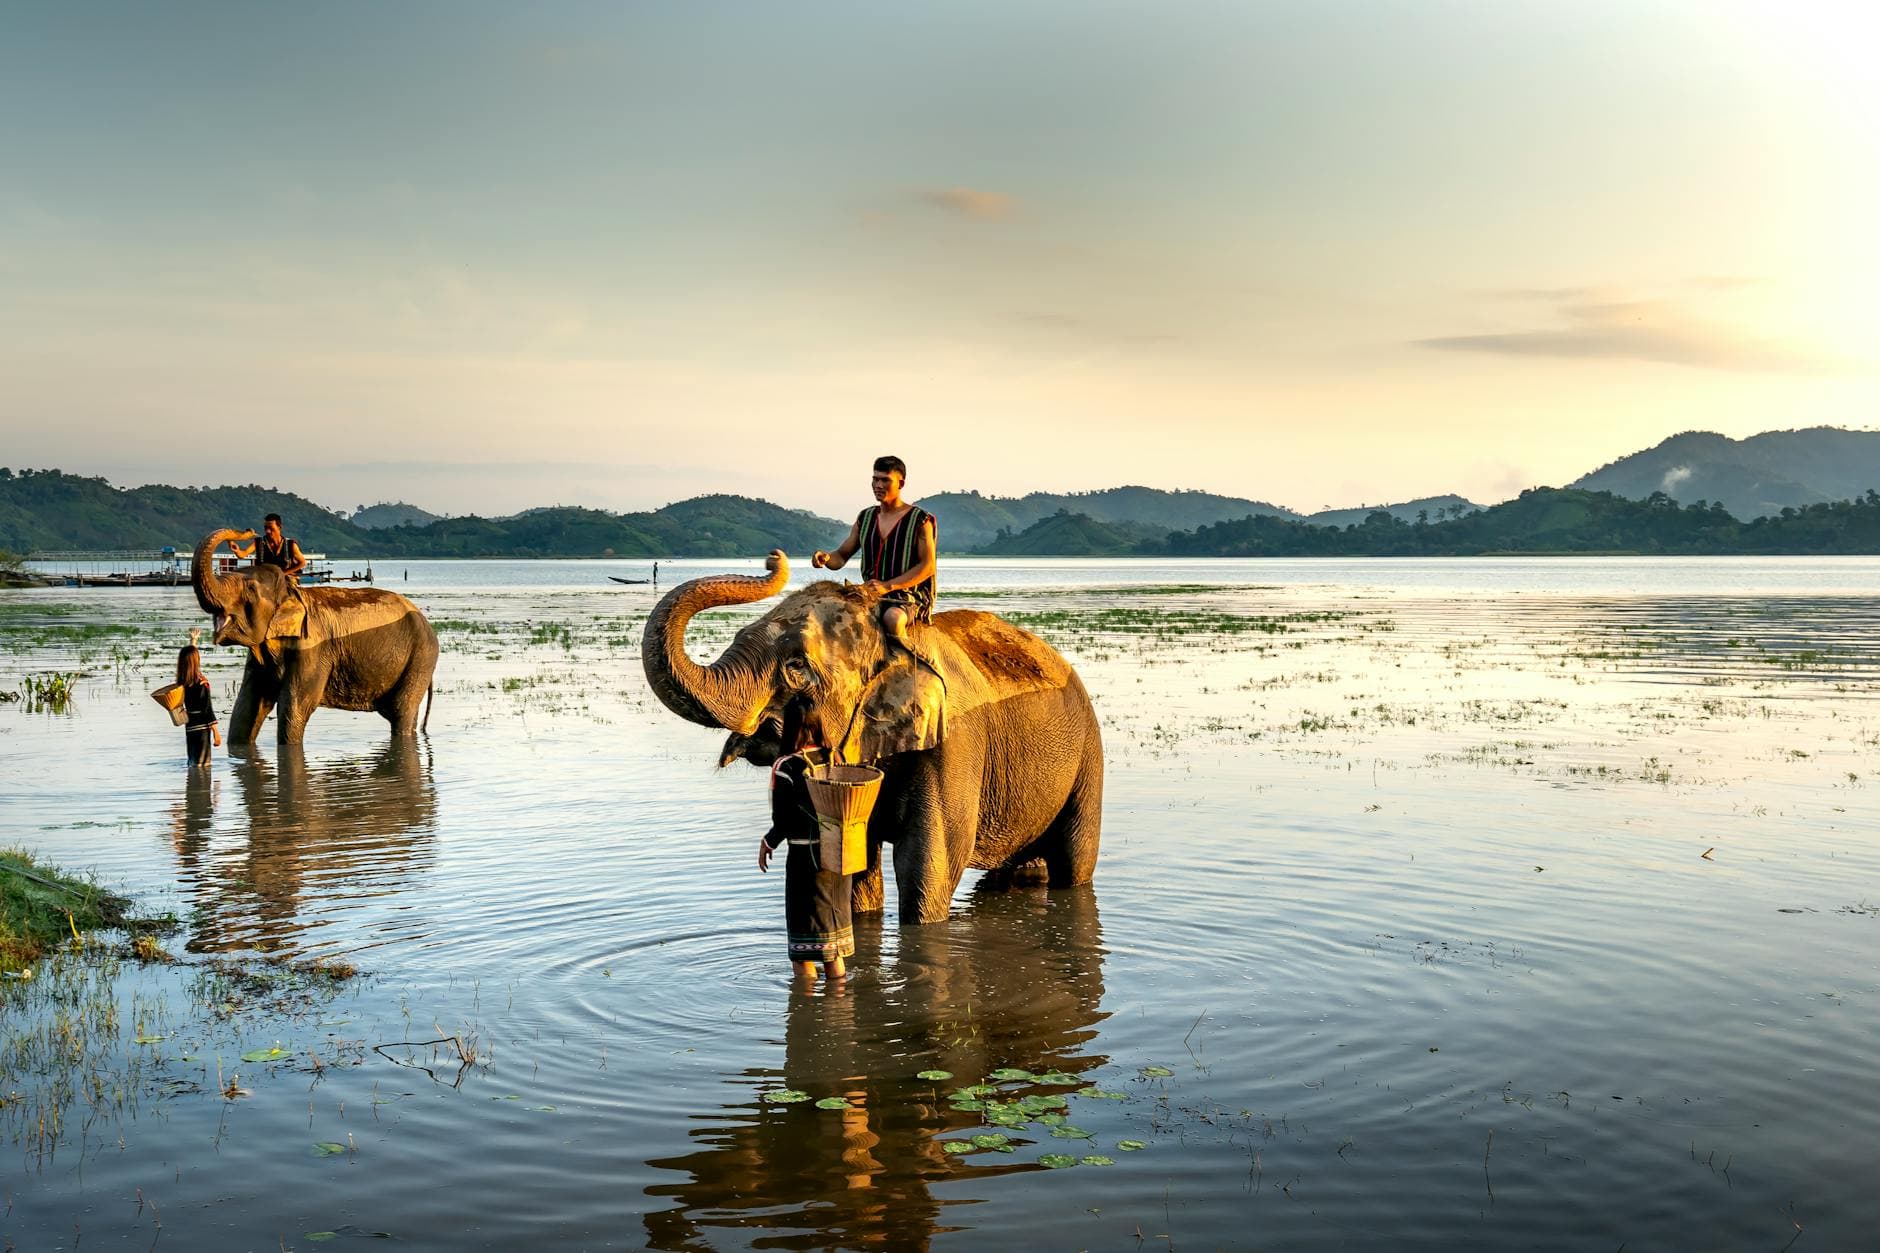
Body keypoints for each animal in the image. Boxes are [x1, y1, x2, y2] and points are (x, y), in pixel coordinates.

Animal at [192, 528, 440, 745]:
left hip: (421, 657)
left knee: (402, 711)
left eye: (250, 589)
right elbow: (248, 705)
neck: (290, 593)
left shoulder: (313, 648)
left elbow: (296, 705)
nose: (247, 532)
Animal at [641, 553, 1103, 923]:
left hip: (1087, 755)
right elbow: (855, 860)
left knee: (1074, 863)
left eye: (796, 666)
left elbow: (927, 866)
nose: (774, 558)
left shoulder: (953, 744)